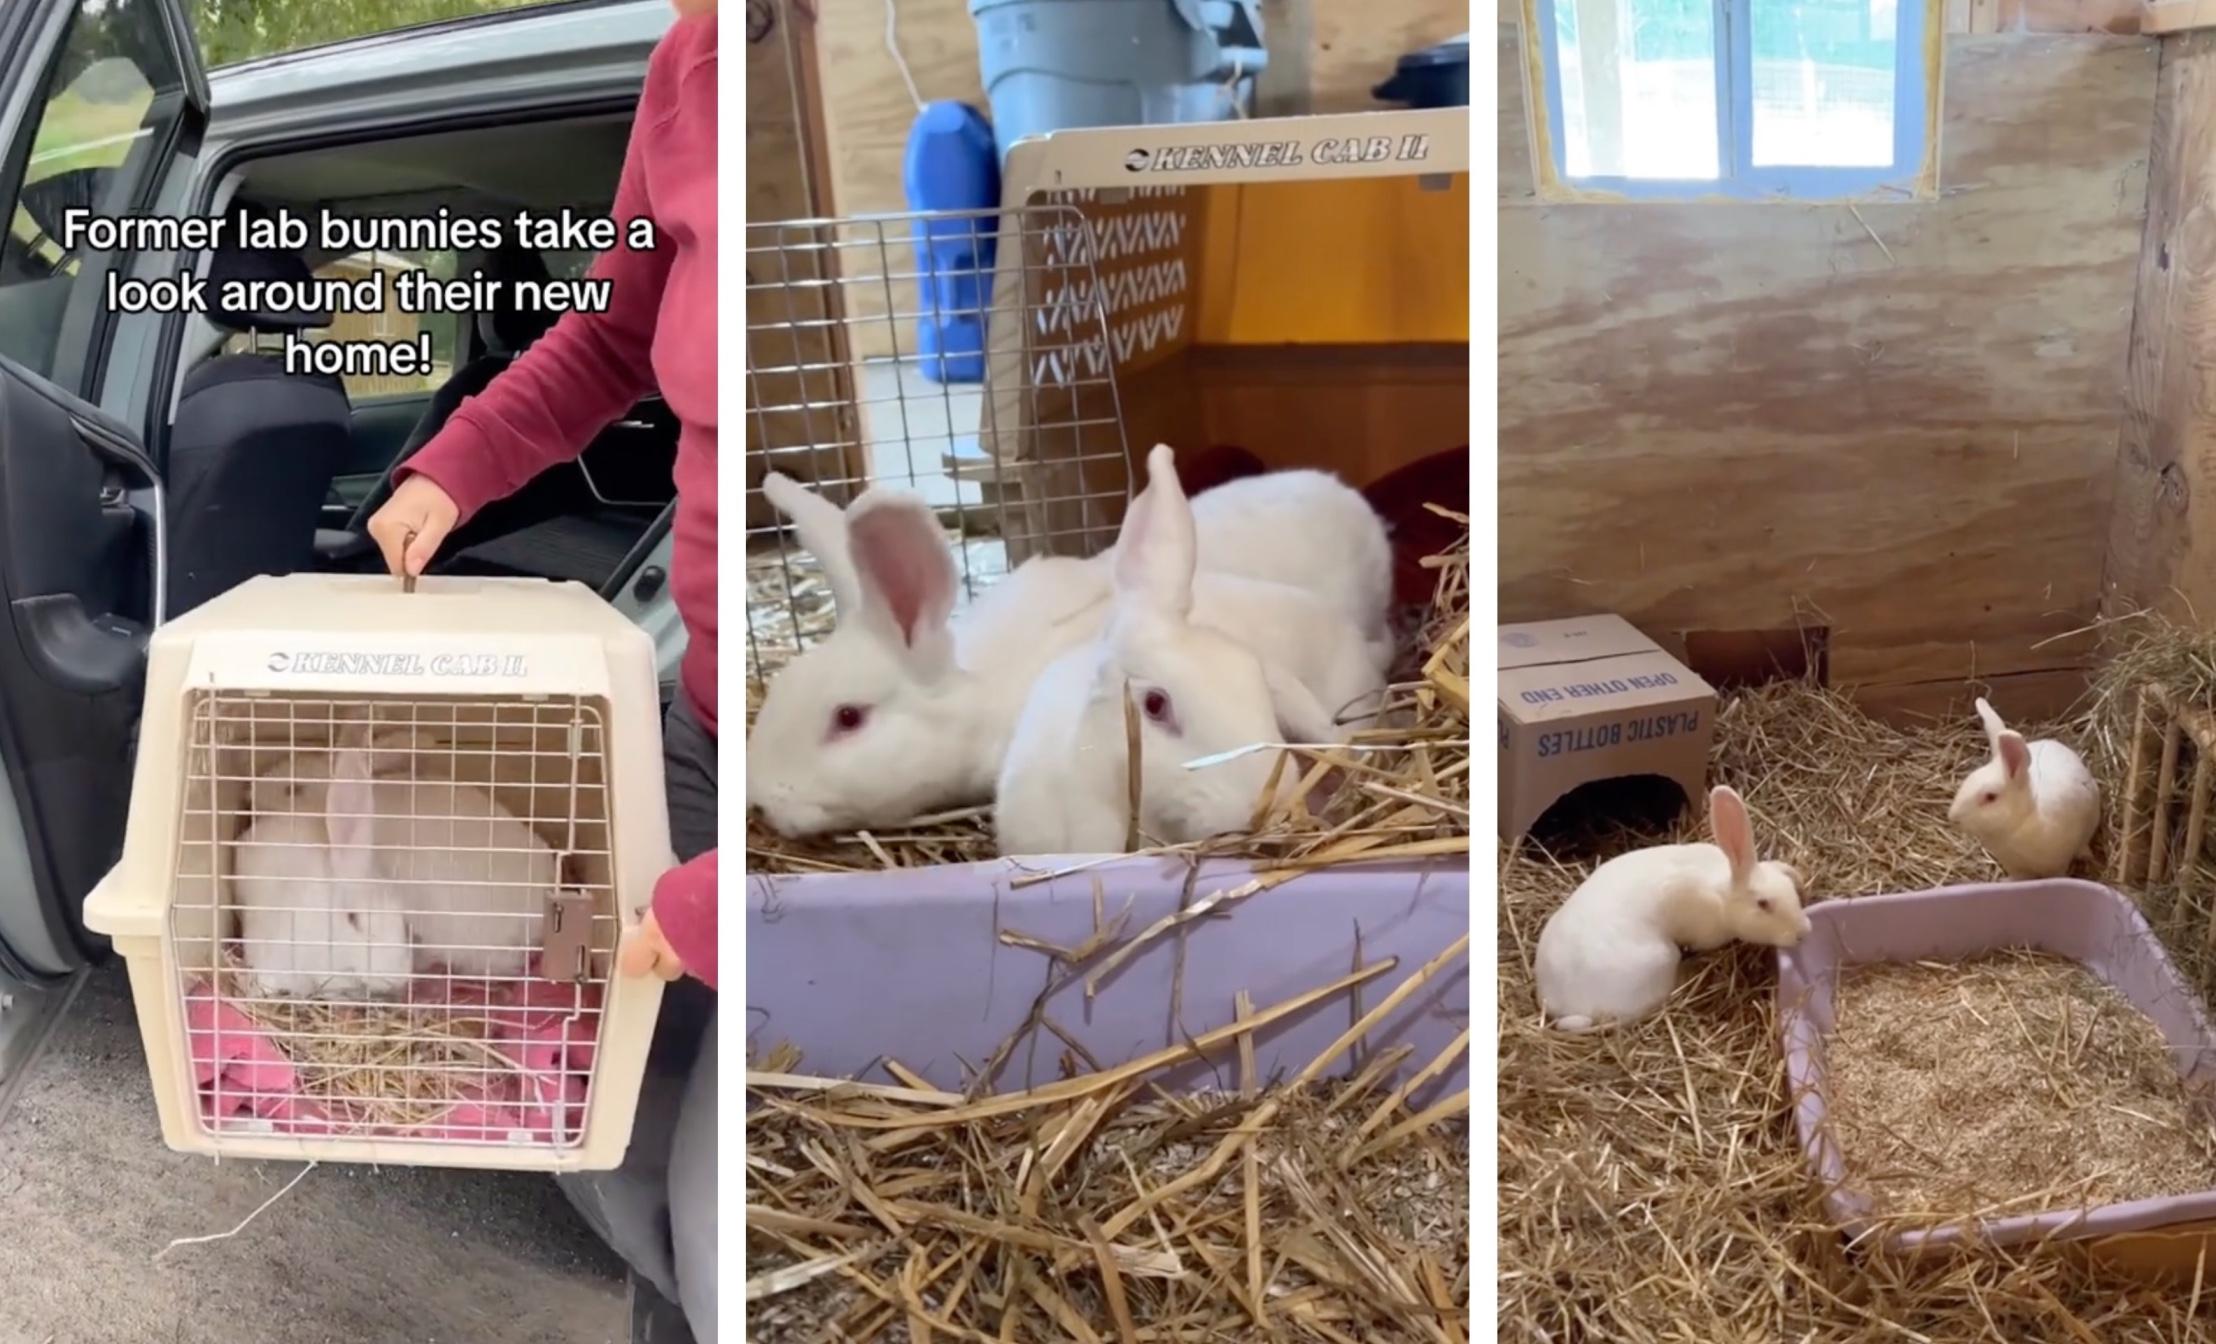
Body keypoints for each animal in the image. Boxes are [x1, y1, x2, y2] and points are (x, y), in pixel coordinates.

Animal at [1533, 785, 1808, 1037]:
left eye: (1789, 889)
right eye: (1763, 904)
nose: (1803, 932)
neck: (1722, 895)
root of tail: (1554, 1002)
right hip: (1663, 960)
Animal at [1950, 696, 2100, 887]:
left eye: (1991, 797)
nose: (1953, 817)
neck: (2017, 825)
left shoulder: (2057, 864)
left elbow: (2057, 875)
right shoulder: (2013, 864)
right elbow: (2018, 877)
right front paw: (2006, 882)